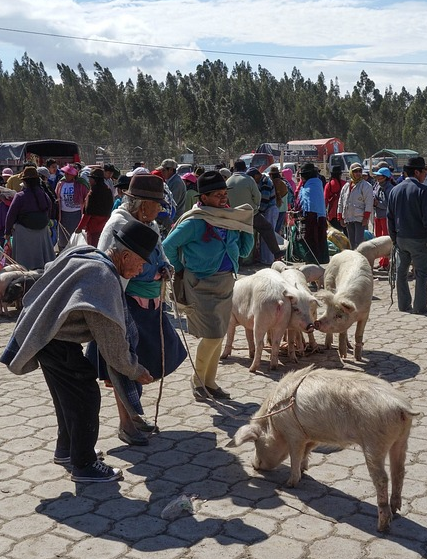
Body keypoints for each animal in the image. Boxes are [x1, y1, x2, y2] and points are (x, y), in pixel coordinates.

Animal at [229, 368, 420, 532]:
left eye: (256, 443)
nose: (253, 464)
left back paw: (382, 526)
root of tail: (401, 406)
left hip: (374, 442)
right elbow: (306, 452)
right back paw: (395, 509)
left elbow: (295, 455)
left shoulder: (294, 433)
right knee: (399, 471)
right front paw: (304, 470)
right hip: (401, 439)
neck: (274, 424)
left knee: (382, 479)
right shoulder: (311, 435)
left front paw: (289, 483)